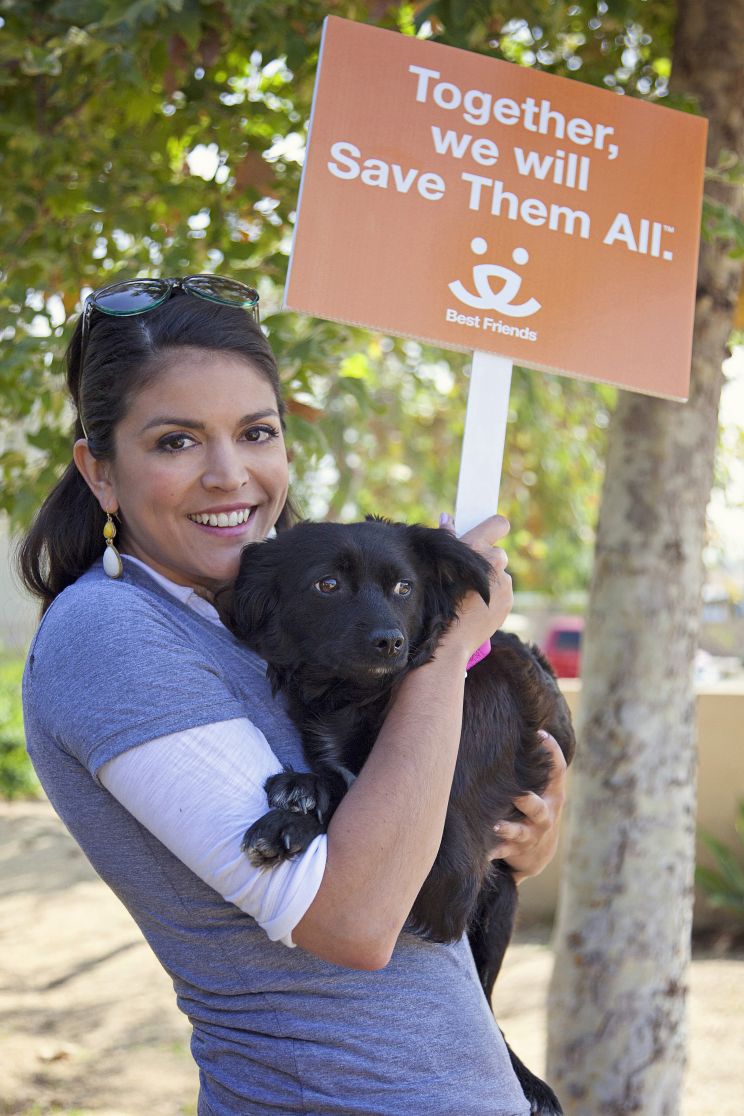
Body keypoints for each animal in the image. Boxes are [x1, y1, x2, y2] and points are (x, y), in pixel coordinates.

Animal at [227, 517, 575, 1111]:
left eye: (404, 588)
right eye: (327, 585)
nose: (389, 640)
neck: (359, 698)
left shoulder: (451, 869)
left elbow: (351, 795)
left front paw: (293, 816)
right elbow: (338, 779)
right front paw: (303, 790)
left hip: (499, 897)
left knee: (489, 1001)